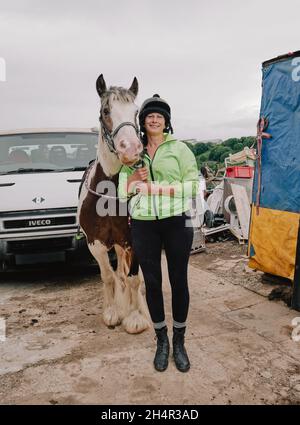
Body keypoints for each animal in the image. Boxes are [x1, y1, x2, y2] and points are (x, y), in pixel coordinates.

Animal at [78, 76, 150, 334]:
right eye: (106, 111)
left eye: (136, 111)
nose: (131, 149)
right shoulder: (94, 244)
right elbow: (108, 276)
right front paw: (112, 312)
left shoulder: (134, 239)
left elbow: (133, 278)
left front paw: (135, 316)